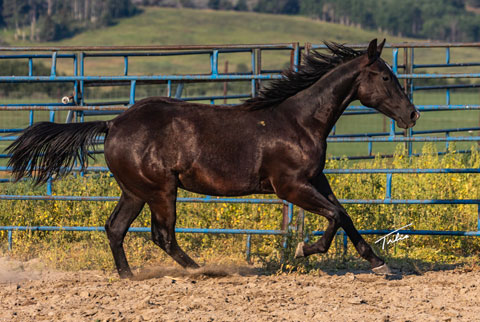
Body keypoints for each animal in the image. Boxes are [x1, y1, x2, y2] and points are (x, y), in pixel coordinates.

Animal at [7, 39, 420, 276]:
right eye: (385, 77)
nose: (413, 114)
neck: (300, 121)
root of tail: (113, 123)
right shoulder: (289, 187)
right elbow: (334, 215)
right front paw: (306, 249)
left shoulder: (315, 180)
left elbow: (345, 214)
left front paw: (379, 262)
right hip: (161, 191)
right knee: (162, 234)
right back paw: (201, 270)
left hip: (135, 191)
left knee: (115, 228)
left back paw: (129, 276)